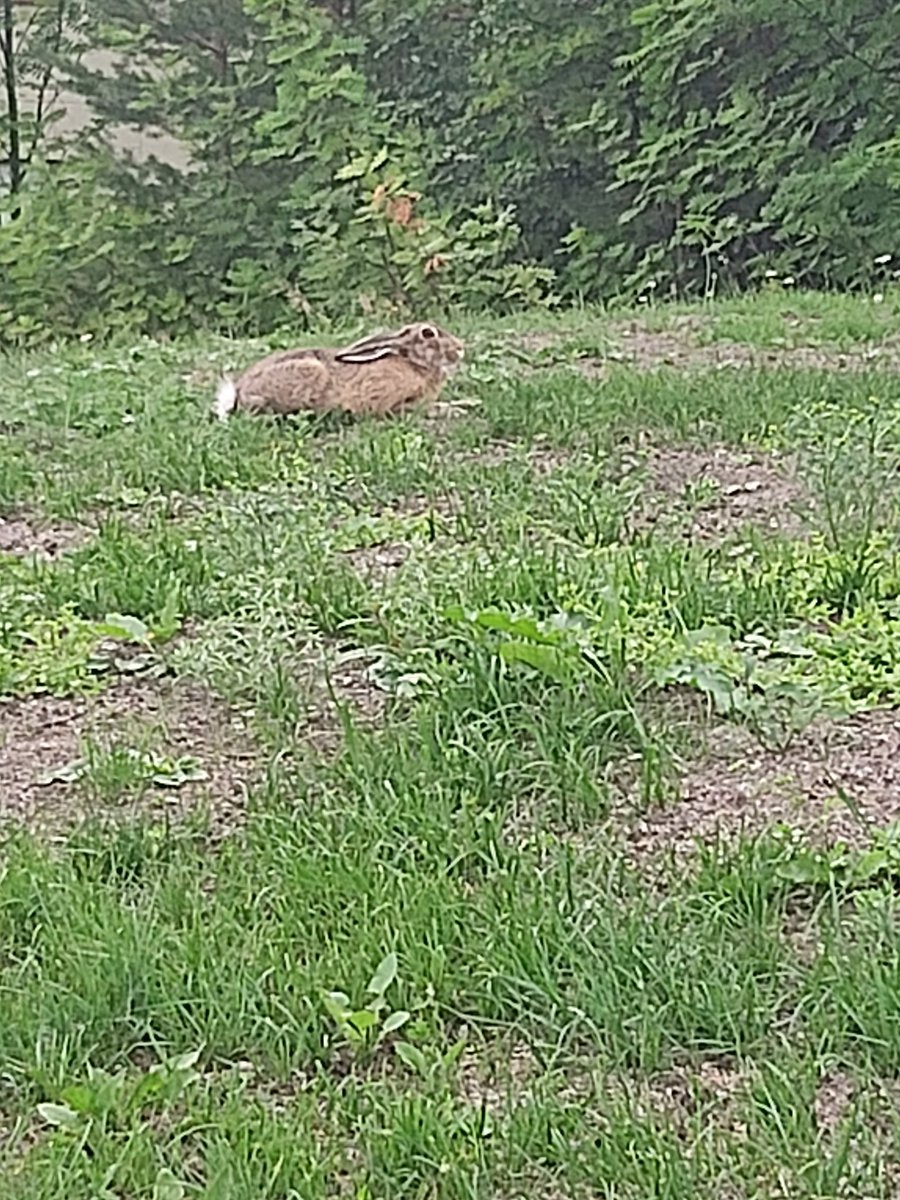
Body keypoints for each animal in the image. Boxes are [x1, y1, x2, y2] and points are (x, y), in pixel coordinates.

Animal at [213, 321, 465, 421]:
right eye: (428, 333)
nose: (461, 348)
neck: (411, 362)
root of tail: (237, 394)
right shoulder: (386, 402)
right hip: (310, 372)